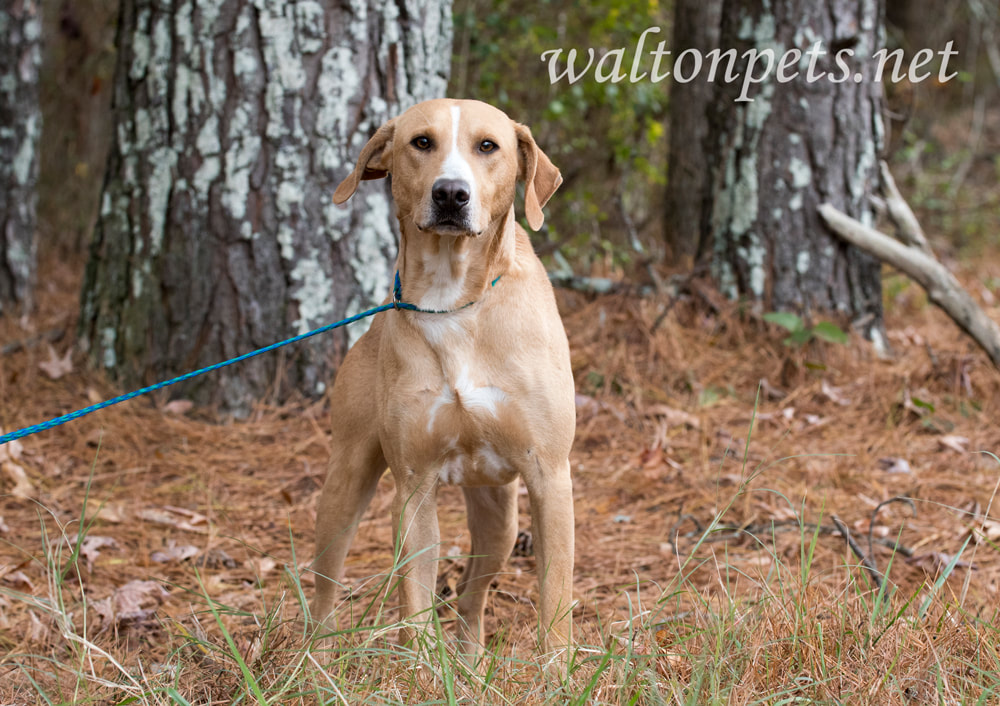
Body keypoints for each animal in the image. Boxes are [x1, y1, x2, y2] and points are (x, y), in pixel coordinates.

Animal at [312, 100, 580, 664]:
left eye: (488, 146)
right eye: (421, 142)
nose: (451, 194)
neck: (452, 301)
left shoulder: (550, 477)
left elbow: (554, 599)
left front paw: (557, 671)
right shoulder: (414, 486)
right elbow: (413, 600)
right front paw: (417, 671)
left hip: (501, 519)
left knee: (474, 593)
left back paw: (471, 656)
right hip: (345, 485)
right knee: (326, 583)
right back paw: (313, 656)